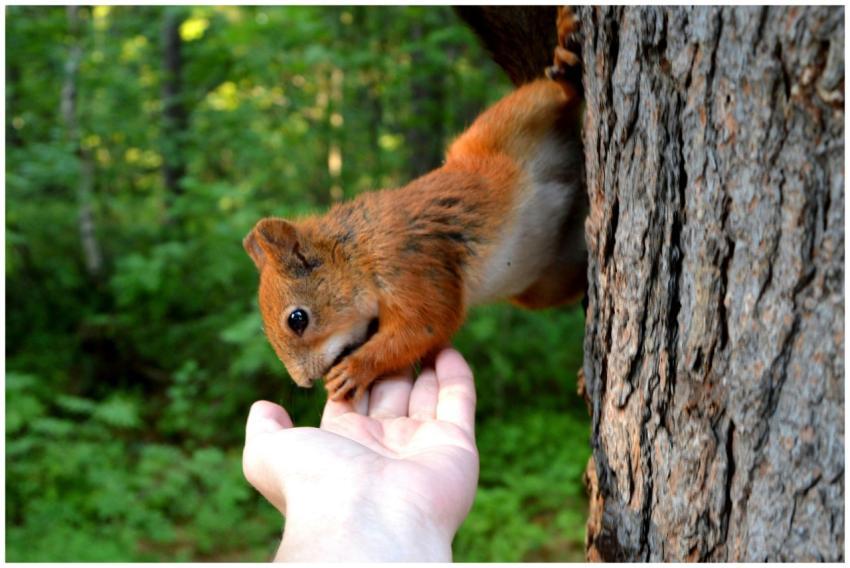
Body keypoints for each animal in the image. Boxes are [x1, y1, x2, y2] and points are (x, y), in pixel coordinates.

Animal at [244, 7, 585, 401]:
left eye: (297, 319)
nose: (304, 382)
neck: (358, 252)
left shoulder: (409, 262)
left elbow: (426, 323)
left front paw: (355, 369)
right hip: (546, 280)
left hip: (509, 121)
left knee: (555, 91)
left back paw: (564, 57)